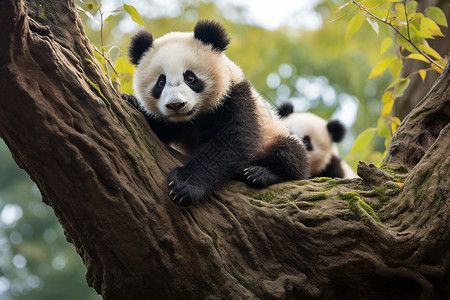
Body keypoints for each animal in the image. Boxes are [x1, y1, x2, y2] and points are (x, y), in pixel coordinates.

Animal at [121, 20, 312, 206]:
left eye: (190, 78)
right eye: (161, 82)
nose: (176, 105)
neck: (191, 118)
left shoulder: (234, 96)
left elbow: (230, 141)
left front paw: (185, 186)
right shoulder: (170, 121)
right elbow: (159, 129)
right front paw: (130, 100)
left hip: (274, 134)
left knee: (291, 154)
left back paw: (260, 173)